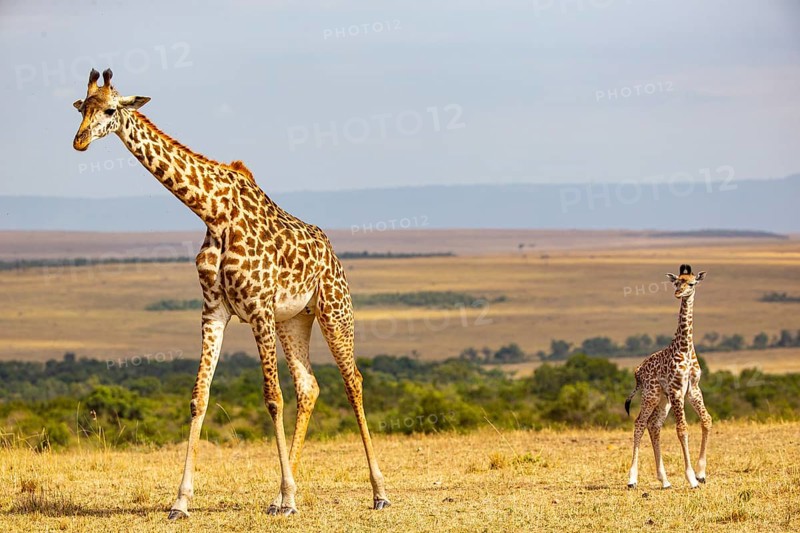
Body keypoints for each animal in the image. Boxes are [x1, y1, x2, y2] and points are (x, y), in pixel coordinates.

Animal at [72, 69, 390, 518]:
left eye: (111, 109)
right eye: (83, 107)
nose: (80, 140)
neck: (212, 211)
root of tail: (331, 252)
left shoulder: (257, 309)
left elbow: (272, 397)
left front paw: (290, 497)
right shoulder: (213, 311)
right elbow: (199, 397)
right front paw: (181, 501)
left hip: (333, 309)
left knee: (353, 382)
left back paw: (377, 492)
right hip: (293, 319)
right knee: (309, 386)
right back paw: (279, 495)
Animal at [624, 264, 712, 490]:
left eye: (692, 283)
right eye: (676, 282)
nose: (678, 293)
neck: (685, 349)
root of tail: (637, 371)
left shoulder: (693, 389)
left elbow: (706, 420)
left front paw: (701, 473)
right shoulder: (676, 390)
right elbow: (682, 429)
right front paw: (691, 478)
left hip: (663, 400)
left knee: (653, 425)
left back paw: (664, 480)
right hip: (652, 395)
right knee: (639, 423)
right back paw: (632, 479)